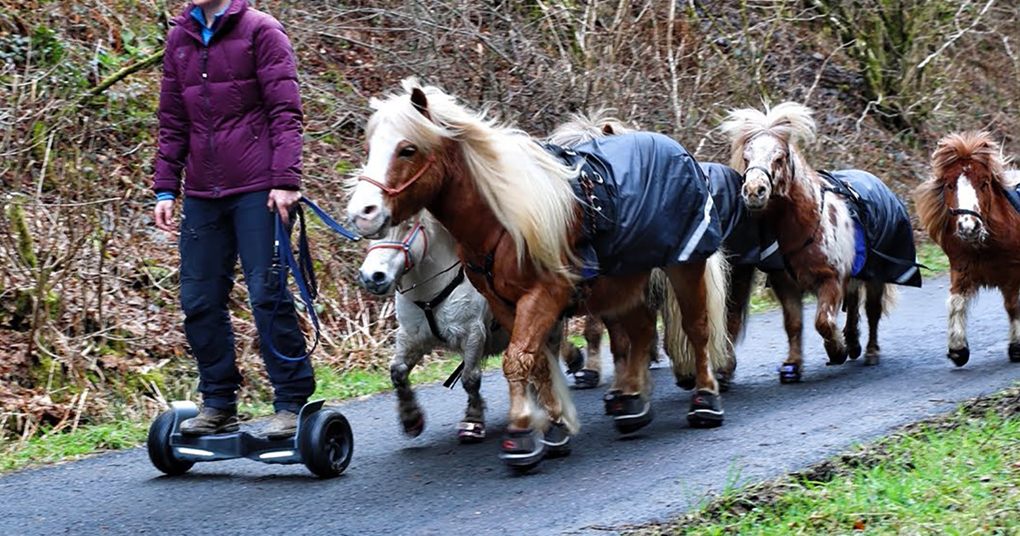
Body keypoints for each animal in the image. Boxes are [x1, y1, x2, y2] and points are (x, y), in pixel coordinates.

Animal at [346, 79, 730, 470]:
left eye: (408, 149)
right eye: (370, 147)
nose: (362, 213)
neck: (502, 219)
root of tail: (675, 148)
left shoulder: (541, 297)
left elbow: (516, 361)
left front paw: (520, 433)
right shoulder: (504, 305)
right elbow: (536, 361)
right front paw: (555, 429)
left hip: (684, 265)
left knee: (696, 328)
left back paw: (705, 399)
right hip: (625, 280)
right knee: (637, 333)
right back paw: (633, 404)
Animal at [720, 102, 921, 381]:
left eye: (779, 157)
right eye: (747, 158)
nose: (753, 192)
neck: (804, 225)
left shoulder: (831, 280)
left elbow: (823, 321)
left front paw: (836, 350)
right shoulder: (786, 285)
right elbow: (793, 324)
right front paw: (793, 365)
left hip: (876, 276)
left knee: (872, 311)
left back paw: (870, 351)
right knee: (854, 304)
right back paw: (853, 342)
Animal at [914, 131, 1020, 366]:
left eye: (985, 183)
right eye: (949, 185)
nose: (968, 226)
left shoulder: (1013, 273)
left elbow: (1013, 306)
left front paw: (1017, 347)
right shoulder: (961, 269)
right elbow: (956, 302)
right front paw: (958, 349)